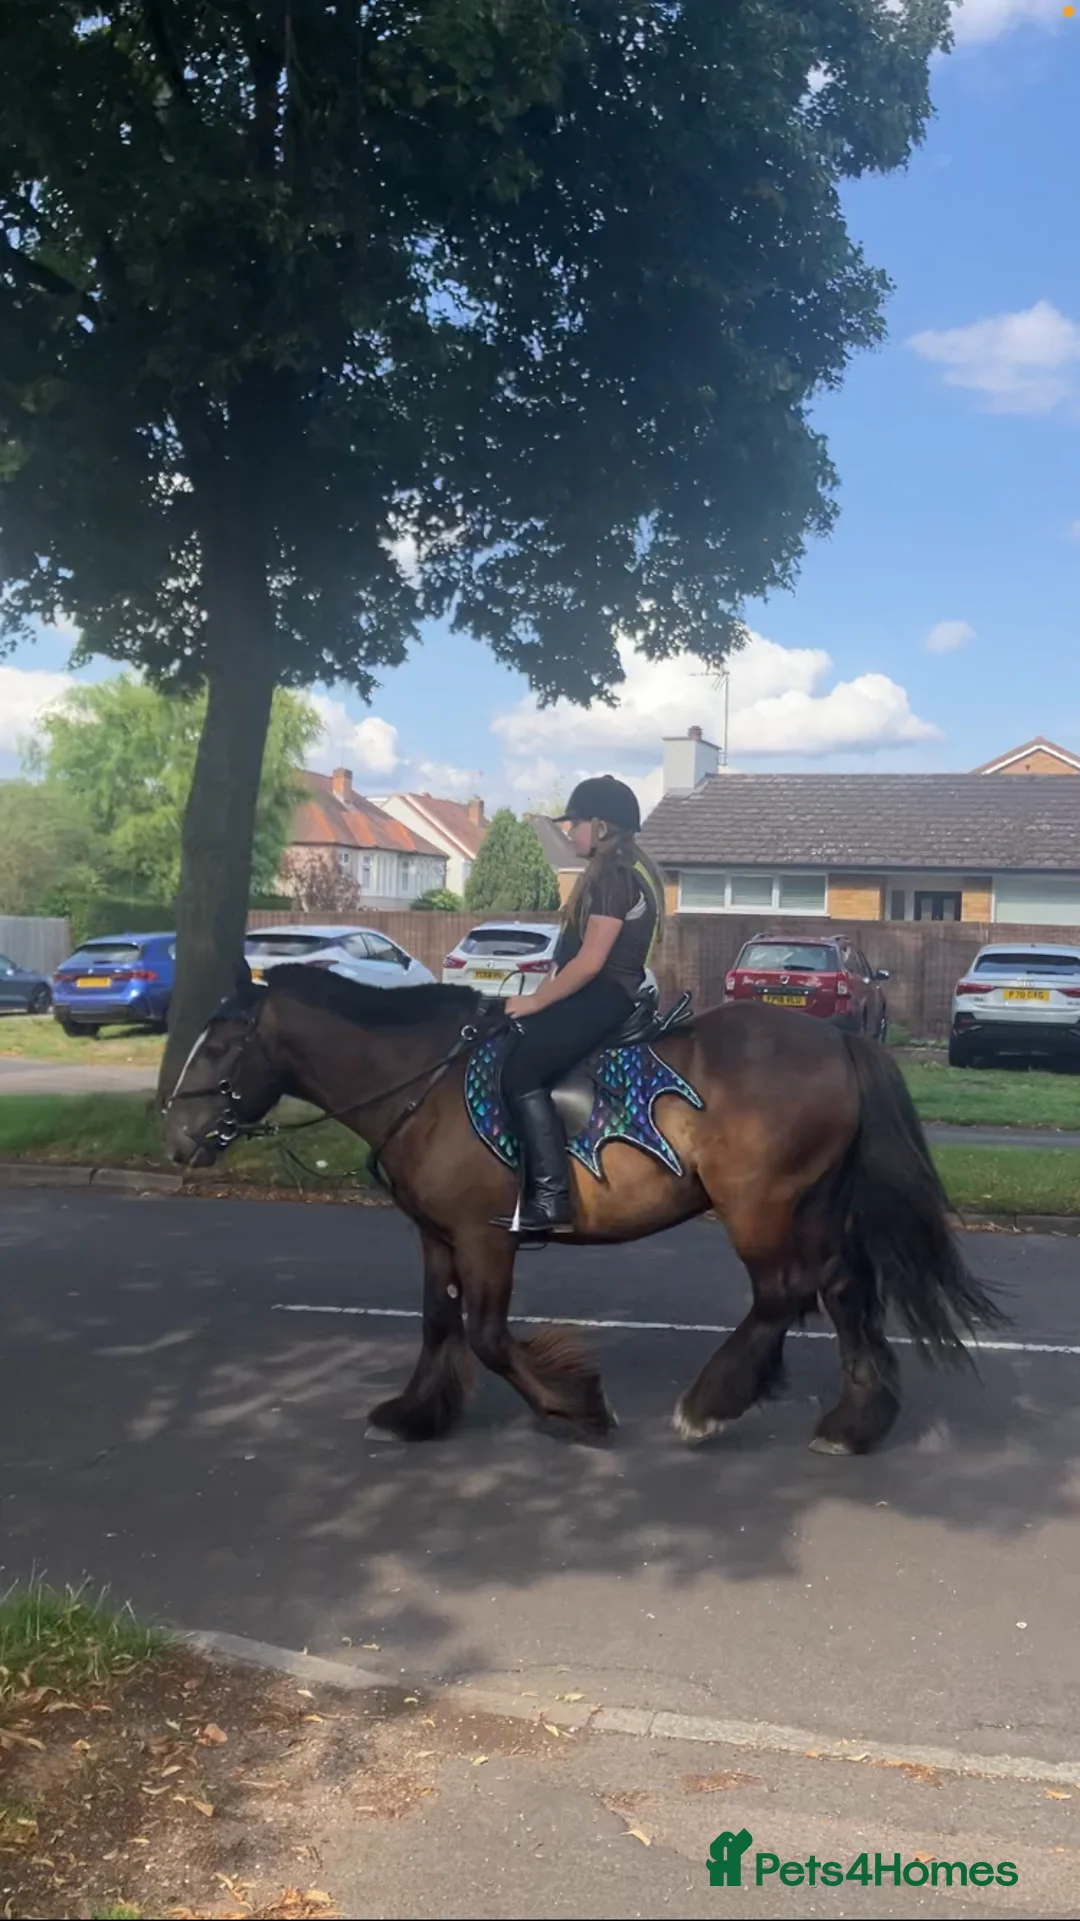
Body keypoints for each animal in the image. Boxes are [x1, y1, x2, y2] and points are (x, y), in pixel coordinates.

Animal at [163, 966, 1002, 1454]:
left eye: (221, 1046)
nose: (177, 1135)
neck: (425, 1082)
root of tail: (835, 1038)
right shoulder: (436, 1234)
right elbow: (437, 1322)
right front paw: (415, 1412)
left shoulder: (485, 1236)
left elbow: (487, 1335)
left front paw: (576, 1406)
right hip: (811, 1203)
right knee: (842, 1287)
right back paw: (855, 1422)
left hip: (757, 1203)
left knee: (784, 1292)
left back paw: (711, 1404)